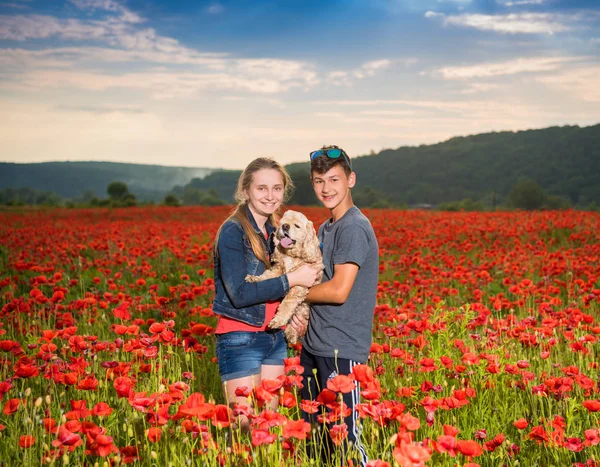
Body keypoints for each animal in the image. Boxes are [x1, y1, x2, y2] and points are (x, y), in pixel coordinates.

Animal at [245, 210, 324, 346]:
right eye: (283, 222)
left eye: (297, 226)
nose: (285, 226)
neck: (291, 255)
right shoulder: (278, 271)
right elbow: (267, 277)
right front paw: (254, 278)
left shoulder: (300, 285)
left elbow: (287, 303)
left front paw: (277, 321)